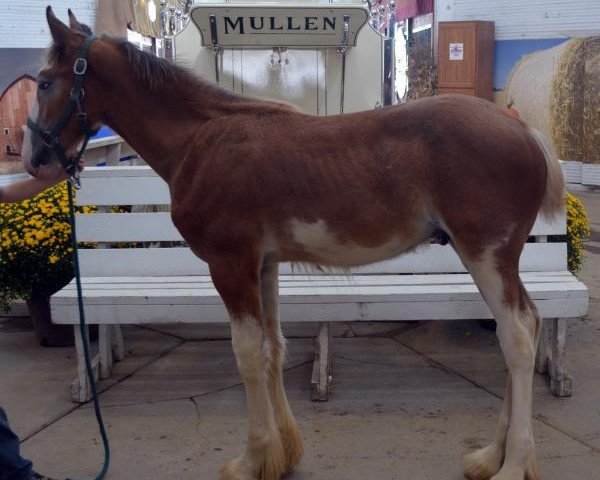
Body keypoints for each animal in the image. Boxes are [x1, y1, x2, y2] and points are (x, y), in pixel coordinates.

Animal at [24, 8, 568, 480]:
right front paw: (280, 456)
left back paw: (513, 465)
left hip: (486, 256)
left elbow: (246, 354)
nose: (33, 158)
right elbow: (272, 349)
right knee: (526, 324)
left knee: (517, 336)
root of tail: (522, 128)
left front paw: (251, 459)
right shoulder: (262, 266)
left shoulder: (230, 265)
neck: (201, 140)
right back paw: (491, 456)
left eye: (46, 81)